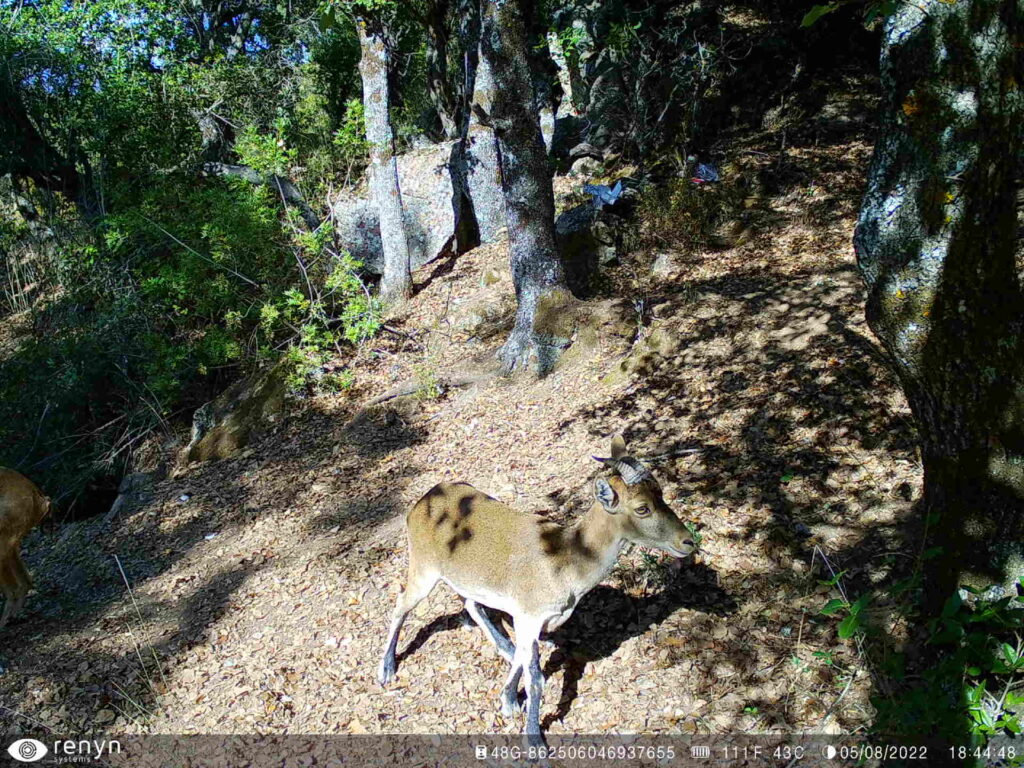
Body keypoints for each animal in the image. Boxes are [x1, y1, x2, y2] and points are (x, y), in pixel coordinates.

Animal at [378, 435, 695, 745]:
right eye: (642, 507)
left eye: (661, 493)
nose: (688, 541)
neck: (565, 562)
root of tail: (421, 502)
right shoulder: (529, 615)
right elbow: (536, 678)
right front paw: (534, 742)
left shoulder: (531, 619)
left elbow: (522, 657)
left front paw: (508, 701)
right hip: (423, 568)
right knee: (402, 602)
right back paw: (387, 670)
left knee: (470, 602)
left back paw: (502, 646)